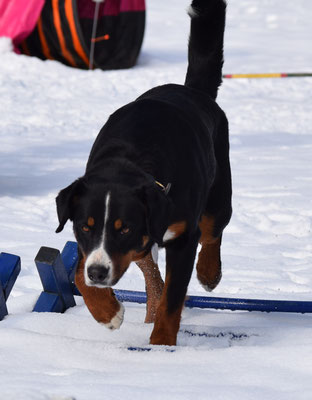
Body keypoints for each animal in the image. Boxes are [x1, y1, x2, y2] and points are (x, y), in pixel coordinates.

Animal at [56, 0, 232, 346]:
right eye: (84, 226)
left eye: (123, 228)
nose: (99, 274)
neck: (128, 161)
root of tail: (193, 92)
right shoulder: (92, 244)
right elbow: (78, 276)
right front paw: (108, 313)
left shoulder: (182, 238)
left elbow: (174, 300)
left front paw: (161, 346)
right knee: (150, 269)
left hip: (220, 194)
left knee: (213, 231)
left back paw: (209, 272)